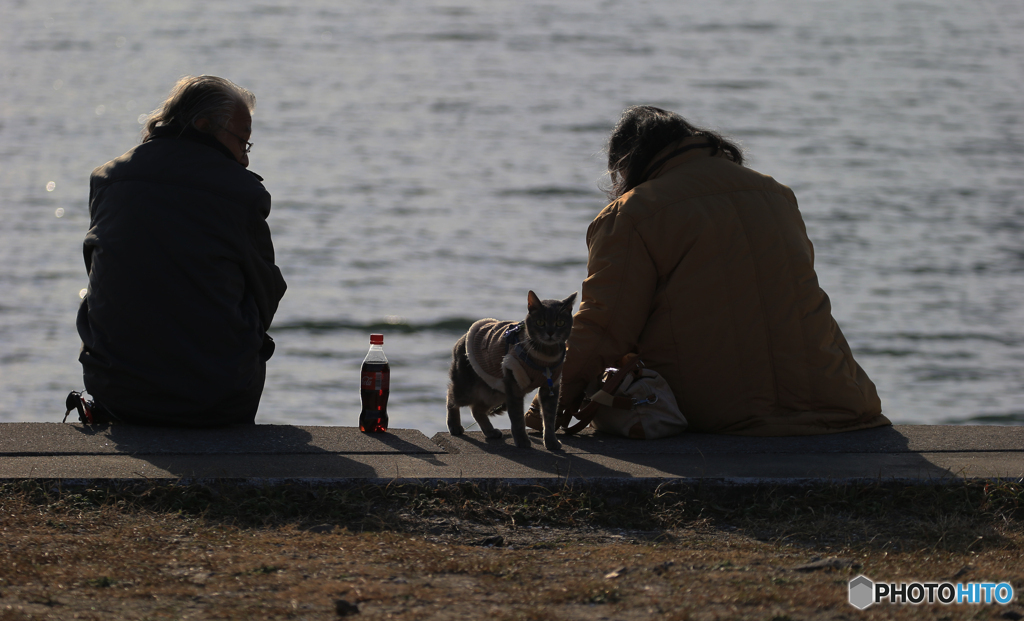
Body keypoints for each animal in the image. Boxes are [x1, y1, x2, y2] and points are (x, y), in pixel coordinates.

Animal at [446, 288, 577, 450]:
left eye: (560, 323)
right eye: (540, 322)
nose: (551, 333)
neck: (546, 355)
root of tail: (461, 338)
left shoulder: (551, 385)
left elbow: (549, 417)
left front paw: (551, 441)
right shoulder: (514, 385)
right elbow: (517, 417)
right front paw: (522, 441)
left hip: (496, 391)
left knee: (476, 409)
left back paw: (490, 431)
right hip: (467, 388)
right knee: (451, 397)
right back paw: (454, 425)